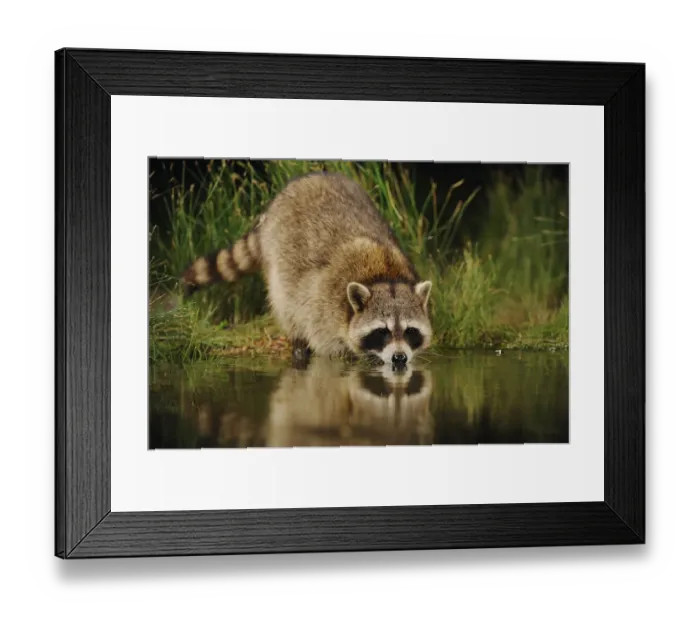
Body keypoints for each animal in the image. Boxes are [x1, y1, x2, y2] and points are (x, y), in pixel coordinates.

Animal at [181, 172, 433, 368]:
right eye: (382, 331)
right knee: (287, 305)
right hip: (279, 260)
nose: (399, 358)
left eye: (410, 331)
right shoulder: (324, 307)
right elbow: (328, 345)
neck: (385, 274)